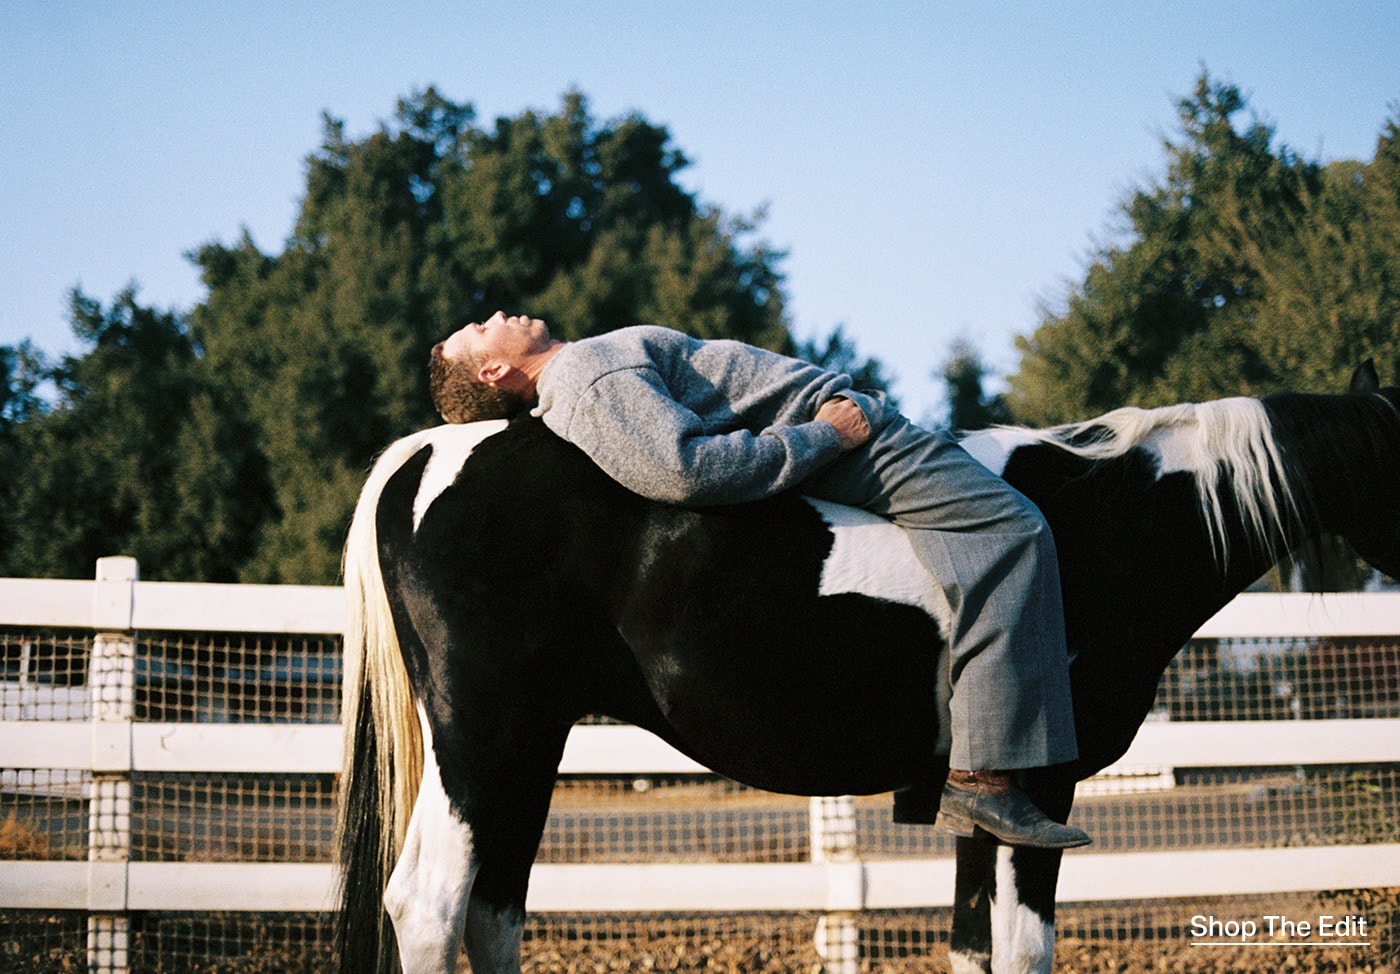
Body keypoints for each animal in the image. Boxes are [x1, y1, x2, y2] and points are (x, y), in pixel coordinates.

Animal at [336, 363, 1400, 974]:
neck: (1108, 521)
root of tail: (429, 451)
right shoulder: (1042, 792)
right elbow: (1024, 950)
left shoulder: (990, 800)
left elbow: (976, 949)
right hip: (482, 737)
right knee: (429, 906)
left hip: (529, 744)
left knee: (493, 911)